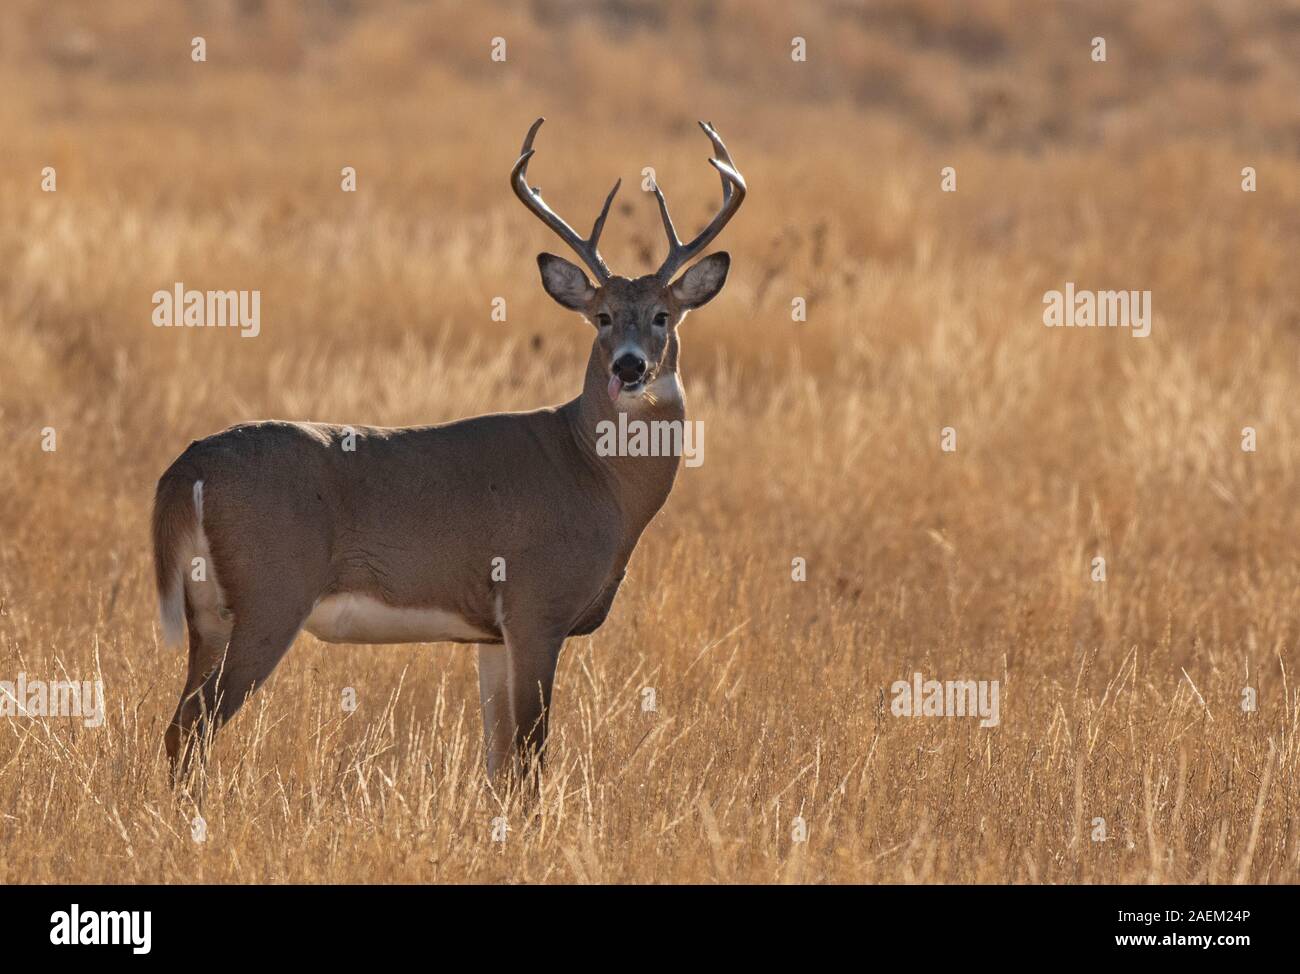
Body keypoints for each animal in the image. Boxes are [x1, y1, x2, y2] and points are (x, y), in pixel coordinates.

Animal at [152, 117, 746, 788]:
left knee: (178, 723)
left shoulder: (491, 636)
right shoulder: (535, 606)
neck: (595, 476)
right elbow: (531, 759)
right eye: (602, 316)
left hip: (208, 615)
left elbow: (498, 764)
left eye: (663, 316)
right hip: (269, 595)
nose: (629, 366)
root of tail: (187, 469)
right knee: (191, 727)